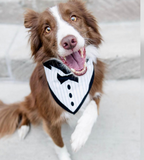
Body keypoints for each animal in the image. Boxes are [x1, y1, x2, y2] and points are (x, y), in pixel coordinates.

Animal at [0, 0, 104, 159]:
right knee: (23, 108)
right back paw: (23, 128)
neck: (70, 78)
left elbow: (93, 106)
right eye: (47, 29)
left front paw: (80, 135)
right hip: (33, 102)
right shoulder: (49, 119)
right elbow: (59, 144)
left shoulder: (96, 87)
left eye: (73, 18)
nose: (69, 41)